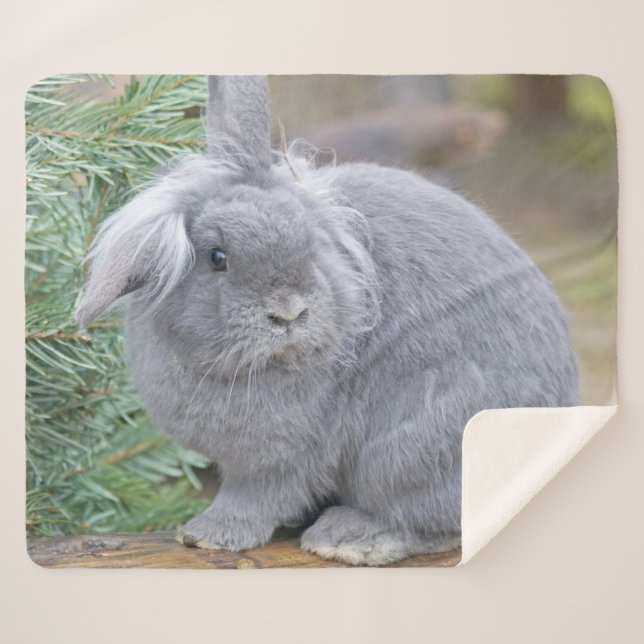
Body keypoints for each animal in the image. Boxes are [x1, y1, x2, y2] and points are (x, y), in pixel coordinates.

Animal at [76, 75, 579, 566]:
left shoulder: (279, 459)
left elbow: (255, 498)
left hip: (411, 450)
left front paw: (208, 536)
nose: (289, 312)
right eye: (218, 257)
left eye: (311, 245)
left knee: (439, 525)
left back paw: (351, 538)